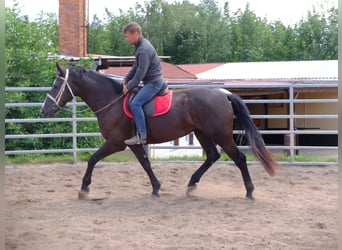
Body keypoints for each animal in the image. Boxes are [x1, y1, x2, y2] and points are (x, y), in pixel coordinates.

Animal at [41, 64, 280, 199]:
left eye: (56, 85)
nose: (45, 110)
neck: (112, 100)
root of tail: (224, 94)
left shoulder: (116, 142)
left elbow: (92, 159)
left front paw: (84, 189)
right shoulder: (133, 143)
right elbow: (146, 164)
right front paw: (156, 188)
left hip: (221, 135)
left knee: (239, 158)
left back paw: (249, 191)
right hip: (202, 133)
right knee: (212, 156)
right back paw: (191, 185)